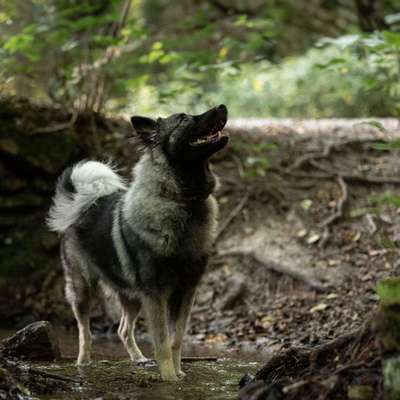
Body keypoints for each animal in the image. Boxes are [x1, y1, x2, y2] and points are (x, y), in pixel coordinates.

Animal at [47, 104, 228, 380]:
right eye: (183, 119)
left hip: (131, 296)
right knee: (85, 332)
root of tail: (84, 204)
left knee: (122, 329)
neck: (182, 200)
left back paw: (139, 359)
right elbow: (162, 342)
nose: (223, 107)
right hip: (82, 288)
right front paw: (169, 378)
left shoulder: (185, 292)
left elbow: (176, 339)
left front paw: (178, 373)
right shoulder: (156, 294)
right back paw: (83, 364)